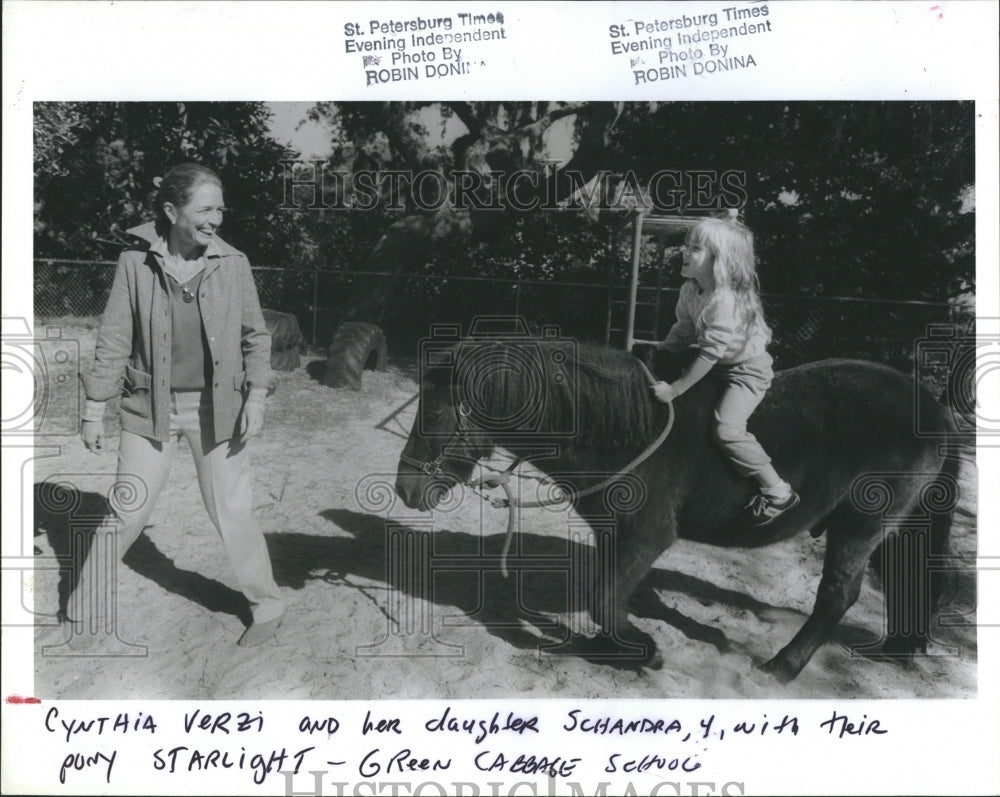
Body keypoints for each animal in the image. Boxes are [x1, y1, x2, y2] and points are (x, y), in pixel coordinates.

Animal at [396, 338, 960, 680]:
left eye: (436, 413)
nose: (406, 488)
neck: (625, 431)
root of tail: (929, 407)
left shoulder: (647, 537)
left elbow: (603, 600)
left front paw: (643, 652)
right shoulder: (613, 535)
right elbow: (603, 596)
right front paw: (613, 648)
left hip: (861, 525)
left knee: (838, 596)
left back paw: (783, 666)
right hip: (892, 527)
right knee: (907, 579)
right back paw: (895, 648)